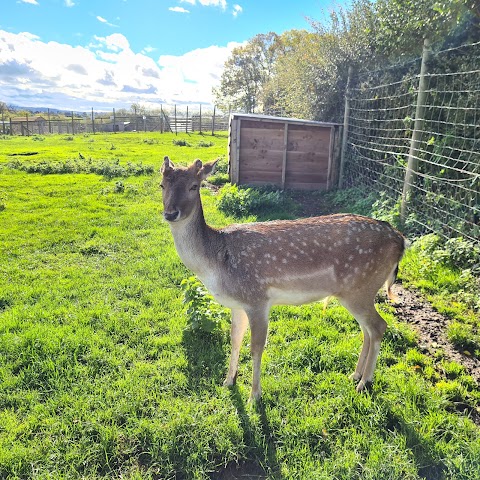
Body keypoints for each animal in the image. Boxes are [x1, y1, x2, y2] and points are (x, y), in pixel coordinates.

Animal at [161, 158, 404, 402]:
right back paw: (355, 375)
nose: (171, 213)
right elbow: (235, 339)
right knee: (366, 329)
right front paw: (228, 381)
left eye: (194, 186)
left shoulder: (257, 299)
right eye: (162, 185)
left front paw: (254, 396)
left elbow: (256, 347)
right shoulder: (237, 303)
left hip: (360, 288)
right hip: (355, 292)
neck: (215, 263)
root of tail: (400, 240)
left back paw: (364, 382)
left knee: (378, 326)